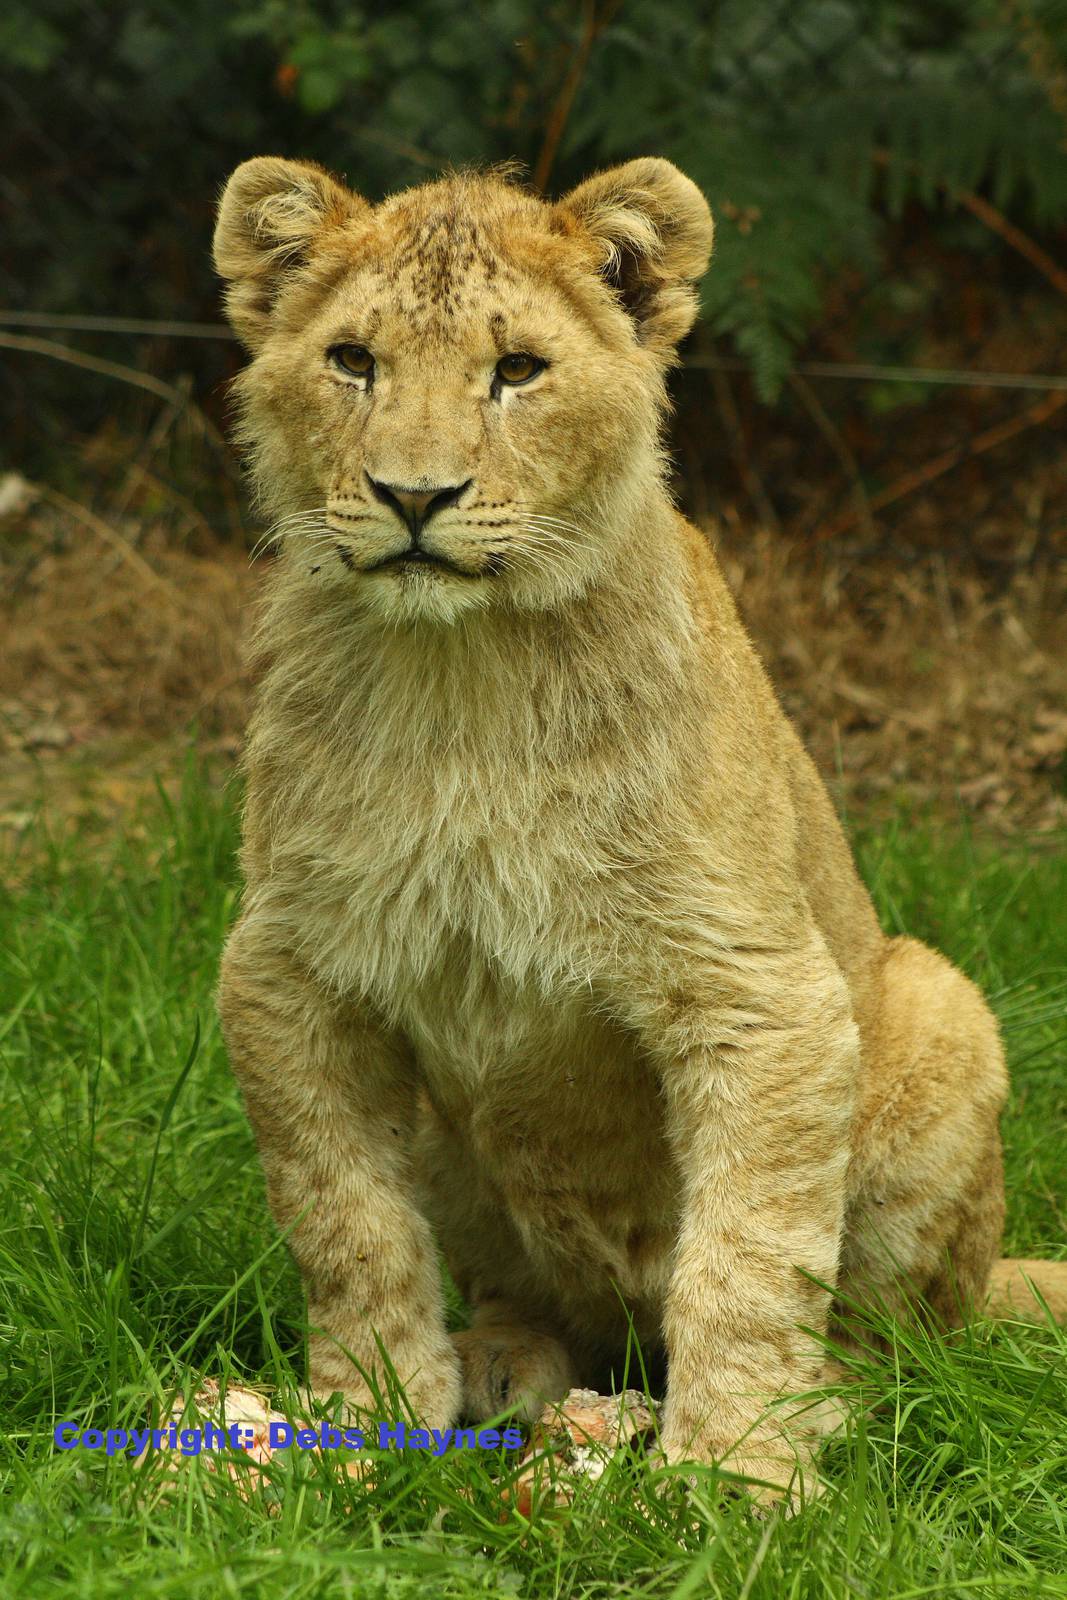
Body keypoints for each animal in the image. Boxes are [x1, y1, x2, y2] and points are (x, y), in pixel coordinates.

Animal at [213, 154, 1066, 1501]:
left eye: (517, 370)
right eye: (352, 360)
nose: (413, 495)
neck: (464, 681)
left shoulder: (756, 989)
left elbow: (748, 1259)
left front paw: (737, 1475)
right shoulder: (285, 968)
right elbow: (345, 1224)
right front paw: (358, 1423)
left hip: (941, 1008)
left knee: (909, 1344)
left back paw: (828, 1400)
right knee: (521, 1288)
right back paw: (503, 1364)